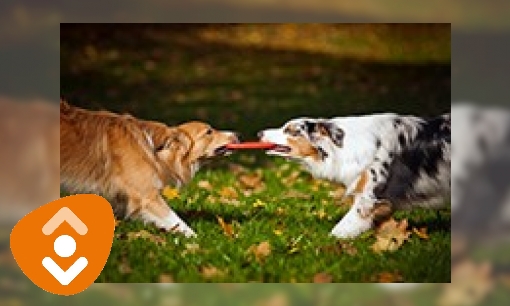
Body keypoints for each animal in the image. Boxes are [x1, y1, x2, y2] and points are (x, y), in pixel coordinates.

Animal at [60, 100, 240, 237]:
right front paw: (197, 240)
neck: (155, 150)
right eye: (209, 132)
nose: (238, 134)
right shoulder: (146, 195)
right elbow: (175, 220)